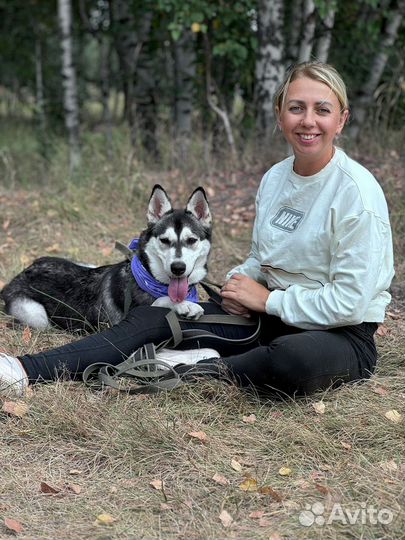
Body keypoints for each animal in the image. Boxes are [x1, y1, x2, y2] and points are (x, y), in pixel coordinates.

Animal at [0, 185, 211, 334]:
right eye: (165, 240)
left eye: (191, 240)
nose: (178, 268)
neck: (150, 278)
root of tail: (21, 273)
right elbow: (160, 302)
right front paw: (183, 305)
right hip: (37, 316)